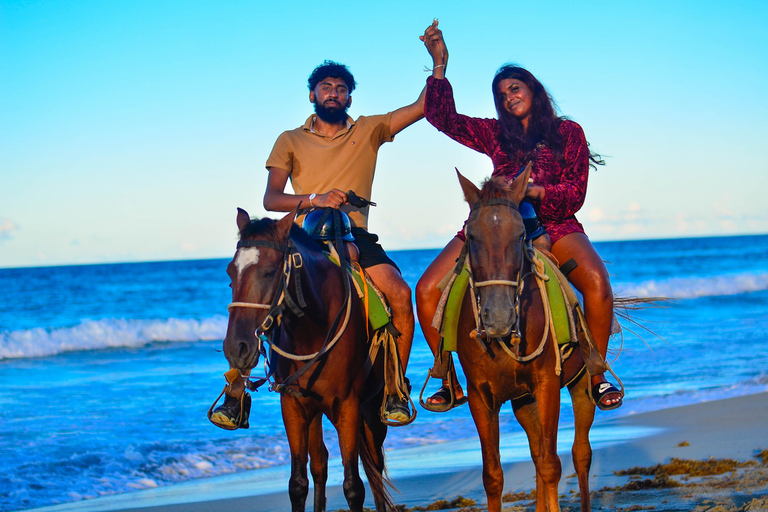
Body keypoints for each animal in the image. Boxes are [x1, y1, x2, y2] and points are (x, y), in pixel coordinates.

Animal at [220, 207, 390, 512]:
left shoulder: (348, 405)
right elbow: (298, 483)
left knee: (375, 466)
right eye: (231, 272)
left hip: (371, 408)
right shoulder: (293, 404)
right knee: (321, 463)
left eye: (270, 271)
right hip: (316, 410)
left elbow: (354, 486)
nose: (236, 347)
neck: (313, 330)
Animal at [452, 169, 596, 512]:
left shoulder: (547, 385)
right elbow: (493, 475)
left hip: (582, 385)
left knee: (580, 453)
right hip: (523, 402)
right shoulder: (480, 396)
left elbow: (551, 465)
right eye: (472, 236)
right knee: (536, 453)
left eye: (519, 236)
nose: (498, 317)